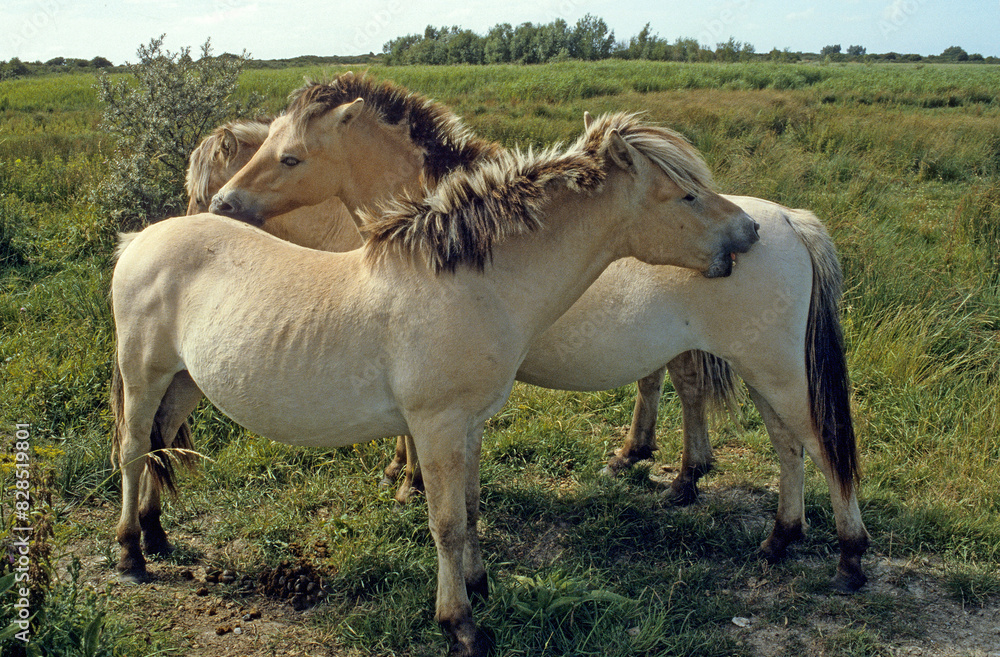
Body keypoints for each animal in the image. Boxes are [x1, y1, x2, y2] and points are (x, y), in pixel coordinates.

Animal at [111, 111, 760, 656]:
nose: (749, 229)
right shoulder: (437, 425)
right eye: (686, 194)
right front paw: (461, 625)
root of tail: (140, 240)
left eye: (290, 157)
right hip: (144, 376)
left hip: (185, 380)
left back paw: (157, 534)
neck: (473, 284)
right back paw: (130, 553)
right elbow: (445, 522)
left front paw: (480, 583)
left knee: (160, 445)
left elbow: (469, 508)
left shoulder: (469, 424)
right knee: (133, 450)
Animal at [211, 74, 870, 592]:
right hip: (761, 370)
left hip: (775, 370)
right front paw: (405, 477)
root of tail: (786, 220)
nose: (222, 204)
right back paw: (771, 534)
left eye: (291, 157)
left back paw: (848, 559)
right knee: (784, 444)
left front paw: (407, 481)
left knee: (817, 444)